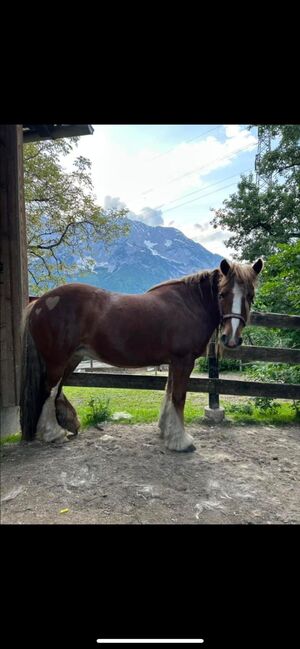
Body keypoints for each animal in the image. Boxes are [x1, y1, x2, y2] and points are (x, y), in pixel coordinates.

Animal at [20, 258, 262, 450]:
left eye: (250, 296)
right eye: (222, 294)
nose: (231, 339)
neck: (189, 305)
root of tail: (39, 303)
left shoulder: (173, 362)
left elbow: (168, 393)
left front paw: (165, 431)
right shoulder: (183, 361)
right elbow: (178, 397)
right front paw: (181, 441)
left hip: (73, 358)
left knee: (57, 390)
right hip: (57, 360)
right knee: (49, 390)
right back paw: (53, 434)